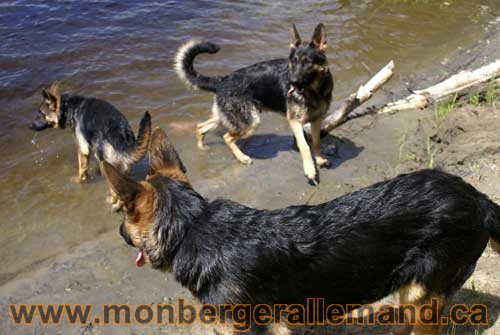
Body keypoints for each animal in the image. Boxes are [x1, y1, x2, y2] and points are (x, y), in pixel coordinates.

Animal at [174, 23, 334, 186]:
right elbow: (304, 146)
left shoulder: (316, 120)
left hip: (227, 118)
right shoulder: (294, 121)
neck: (314, 91)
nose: (292, 82)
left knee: (201, 127)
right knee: (226, 137)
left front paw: (320, 160)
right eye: (293, 61)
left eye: (307, 62)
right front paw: (310, 171)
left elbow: (316, 142)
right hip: (250, 123)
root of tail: (222, 80)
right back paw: (242, 158)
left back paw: (202, 148)